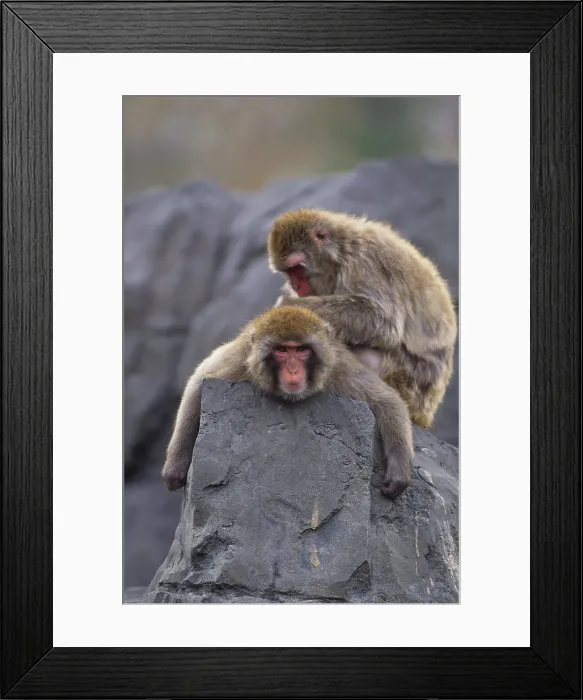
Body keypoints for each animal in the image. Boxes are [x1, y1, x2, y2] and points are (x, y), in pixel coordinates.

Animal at [162, 306, 413, 499]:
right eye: (282, 350)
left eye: (301, 349)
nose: (293, 371)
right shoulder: (238, 361)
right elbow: (197, 383)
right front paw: (176, 462)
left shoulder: (338, 367)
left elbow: (386, 400)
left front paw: (399, 467)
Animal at [267, 208, 458, 430]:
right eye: (288, 272)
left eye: (296, 268)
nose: (296, 286)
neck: (341, 251)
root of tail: (426, 414)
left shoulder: (363, 263)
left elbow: (383, 322)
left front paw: (289, 304)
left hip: (409, 382)